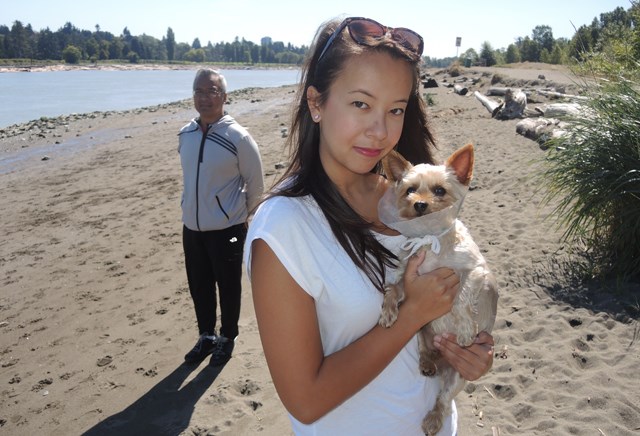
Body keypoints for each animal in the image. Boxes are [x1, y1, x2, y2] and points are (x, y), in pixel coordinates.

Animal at [378, 144, 498, 436]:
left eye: (440, 190)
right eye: (409, 189)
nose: (420, 204)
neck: (429, 238)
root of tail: (444, 361)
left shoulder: (476, 271)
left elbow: (462, 298)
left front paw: (465, 331)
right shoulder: (408, 280)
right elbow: (393, 288)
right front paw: (388, 311)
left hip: (458, 377)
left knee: (443, 399)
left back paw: (433, 418)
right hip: (420, 332)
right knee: (424, 347)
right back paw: (427, 361)